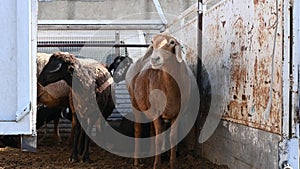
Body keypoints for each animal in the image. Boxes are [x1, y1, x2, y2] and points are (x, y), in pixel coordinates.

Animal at [126, 32, 192, 169]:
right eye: (152, 42)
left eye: (172, 42)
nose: (154, 59)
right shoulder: (157, 112)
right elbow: (159, 139)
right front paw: (157, 164)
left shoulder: (178, 113)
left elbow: (172, 137)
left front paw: (172, 163)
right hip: (135, 104)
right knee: (138, 130)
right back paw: (136, 161)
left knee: (152, 131)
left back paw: (152, 154)